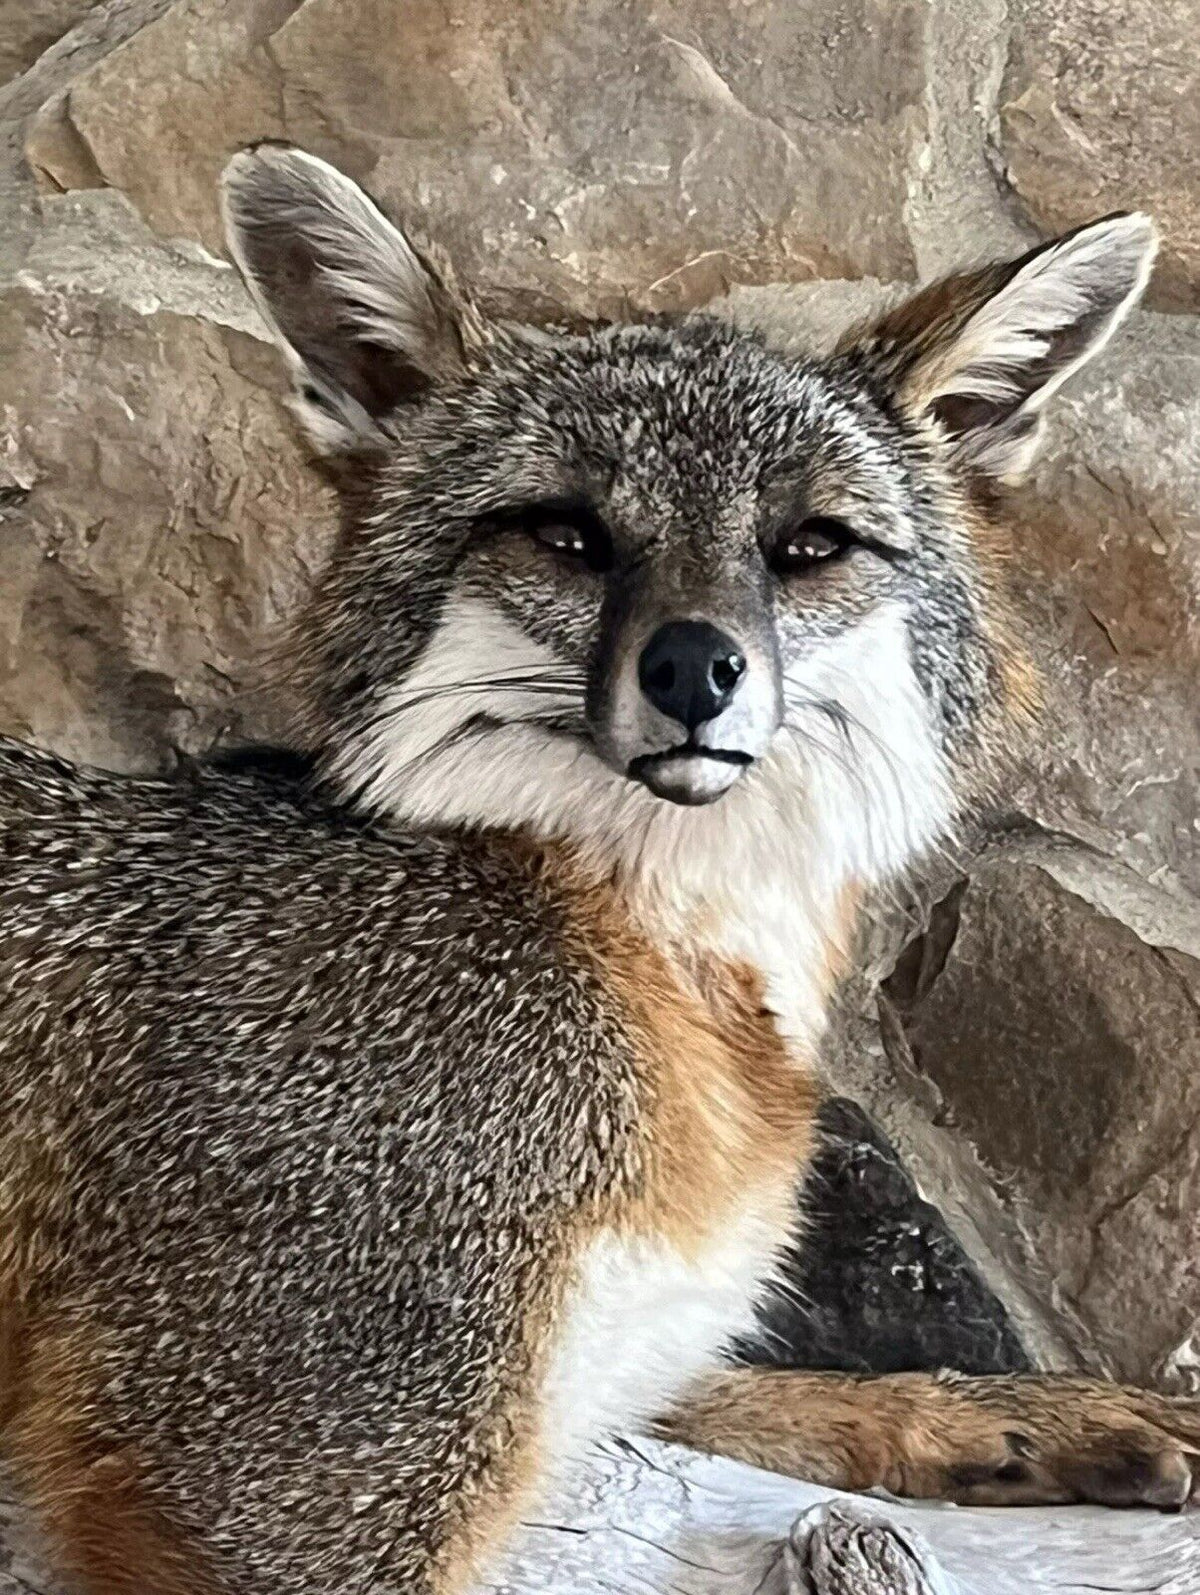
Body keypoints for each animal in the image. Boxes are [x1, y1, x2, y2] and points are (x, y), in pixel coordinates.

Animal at [1, 144, 1198, 1595]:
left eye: (809, 546)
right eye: (567, 534)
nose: (693, 665)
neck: (679, 982)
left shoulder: (598, 1369)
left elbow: (761, 1386)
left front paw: (1024, 1414)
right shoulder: (295, 1483)